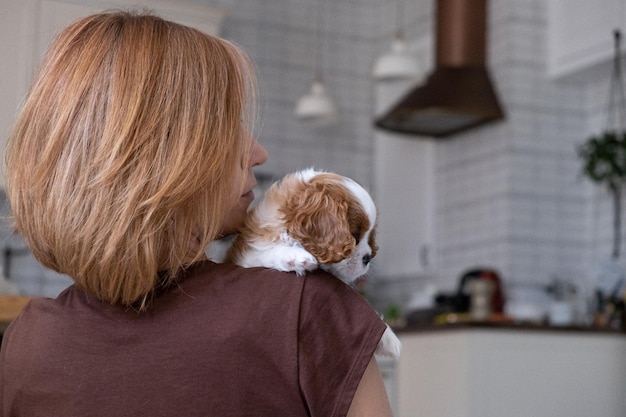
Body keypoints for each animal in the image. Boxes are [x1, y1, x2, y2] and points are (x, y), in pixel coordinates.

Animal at [224, 168, 400, 358]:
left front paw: (388, 337)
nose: (368, 258)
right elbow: (266, 252)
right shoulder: (246, 255)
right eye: (354, 236)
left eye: (369, 237)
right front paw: (296, 256)